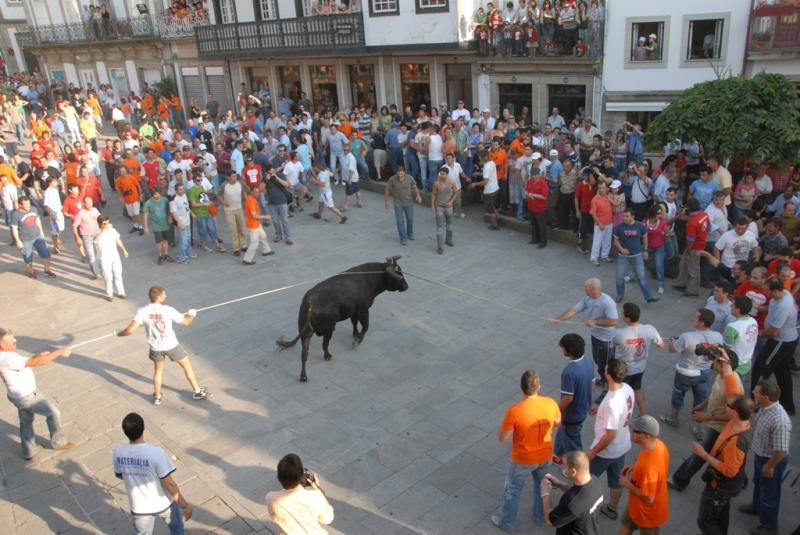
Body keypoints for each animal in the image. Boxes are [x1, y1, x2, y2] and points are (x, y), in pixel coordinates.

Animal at [276, 257, 409, 382]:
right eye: (399, 276)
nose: (406, 287)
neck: (369, 279)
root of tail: (310, 303)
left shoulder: (354, 312)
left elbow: (354, 323)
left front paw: (355, 335)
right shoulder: (363, 311)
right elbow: (365, 326)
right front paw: (357, 341)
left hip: (306, 333)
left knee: (304, 353)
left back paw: (303, 376)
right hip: (328, 330)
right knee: (324, 345)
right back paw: (327, 356)